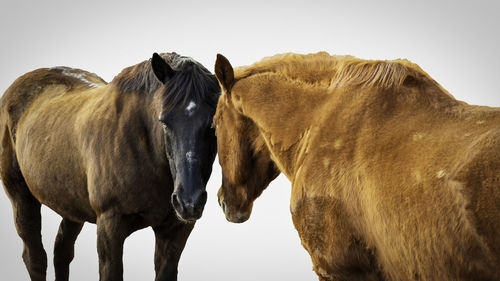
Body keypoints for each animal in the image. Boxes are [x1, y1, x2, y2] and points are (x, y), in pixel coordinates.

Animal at [0, 53, 221, 280]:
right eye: (164, 121)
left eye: (214, 124)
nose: (189, 202)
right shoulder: (110, 225)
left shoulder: (175, 229)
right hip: (21, 197)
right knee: (35, 258)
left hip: (70, 204)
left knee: (61, 252)